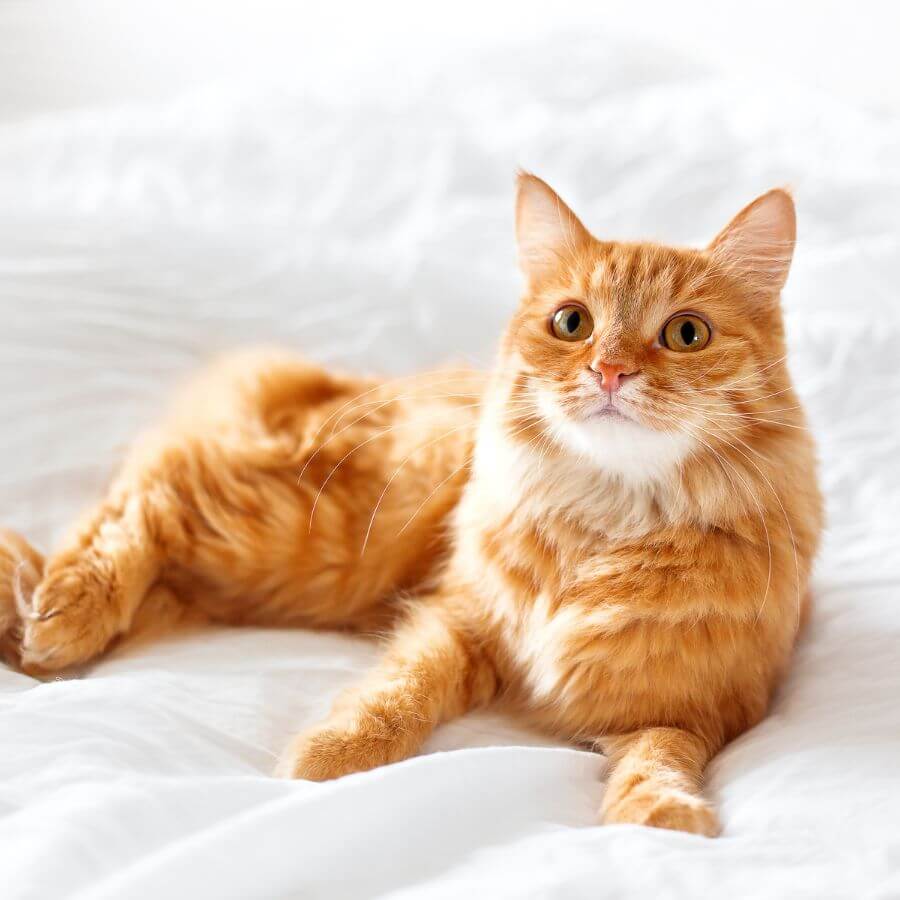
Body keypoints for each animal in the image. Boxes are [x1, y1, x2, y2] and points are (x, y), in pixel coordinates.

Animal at [0, 174, 824, 836]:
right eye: (573, 323)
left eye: (686, 333)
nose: (609, 370)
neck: (608, 525)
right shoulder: (458, 618)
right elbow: (399, 695)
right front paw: (328, 758)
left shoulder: (695, 708)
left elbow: (661, 759)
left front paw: (660, 816)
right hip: (315, 540)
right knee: (150, 491)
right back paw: (64, 616)